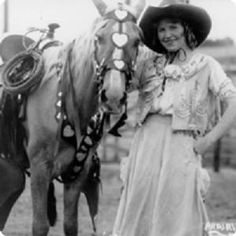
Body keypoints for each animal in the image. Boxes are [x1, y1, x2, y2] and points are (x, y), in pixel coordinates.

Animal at [0, 0, 145, 235]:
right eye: (99, 37)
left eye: (137, 40)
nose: (113, 95)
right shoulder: (40, 168)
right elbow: (40, 225)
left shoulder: (78, 172)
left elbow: (71, 224)